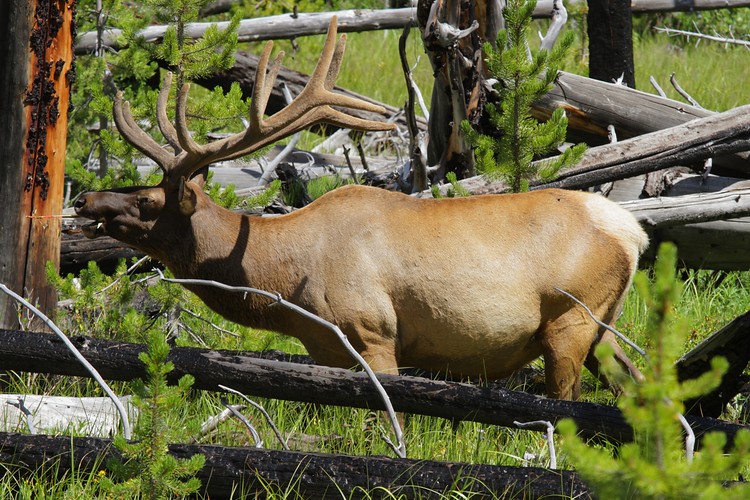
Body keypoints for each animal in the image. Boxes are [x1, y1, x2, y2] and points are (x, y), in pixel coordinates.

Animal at [74, 18, 649, 401]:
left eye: (148, 200)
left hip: (572, 318)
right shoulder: (328, 351)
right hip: (605, 327)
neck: (288, 285)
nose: (84, 199)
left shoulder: (375, 332)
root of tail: (632, 231)